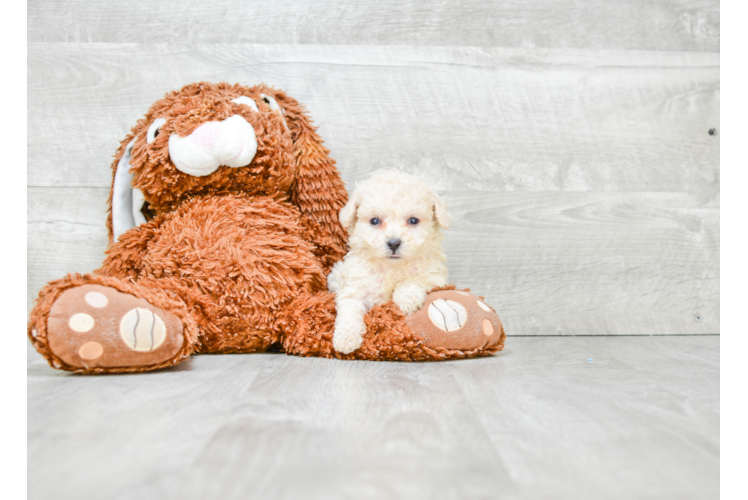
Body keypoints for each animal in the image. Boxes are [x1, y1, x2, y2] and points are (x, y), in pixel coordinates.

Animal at [328, 170, 450, 354]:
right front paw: (346, 338)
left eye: (413, 220)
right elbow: (350, 309)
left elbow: (414, 279)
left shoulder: (434, 275)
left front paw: (407, 298)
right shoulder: (354, 287)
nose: (393, 243)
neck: (391, 267)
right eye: (375, 221)